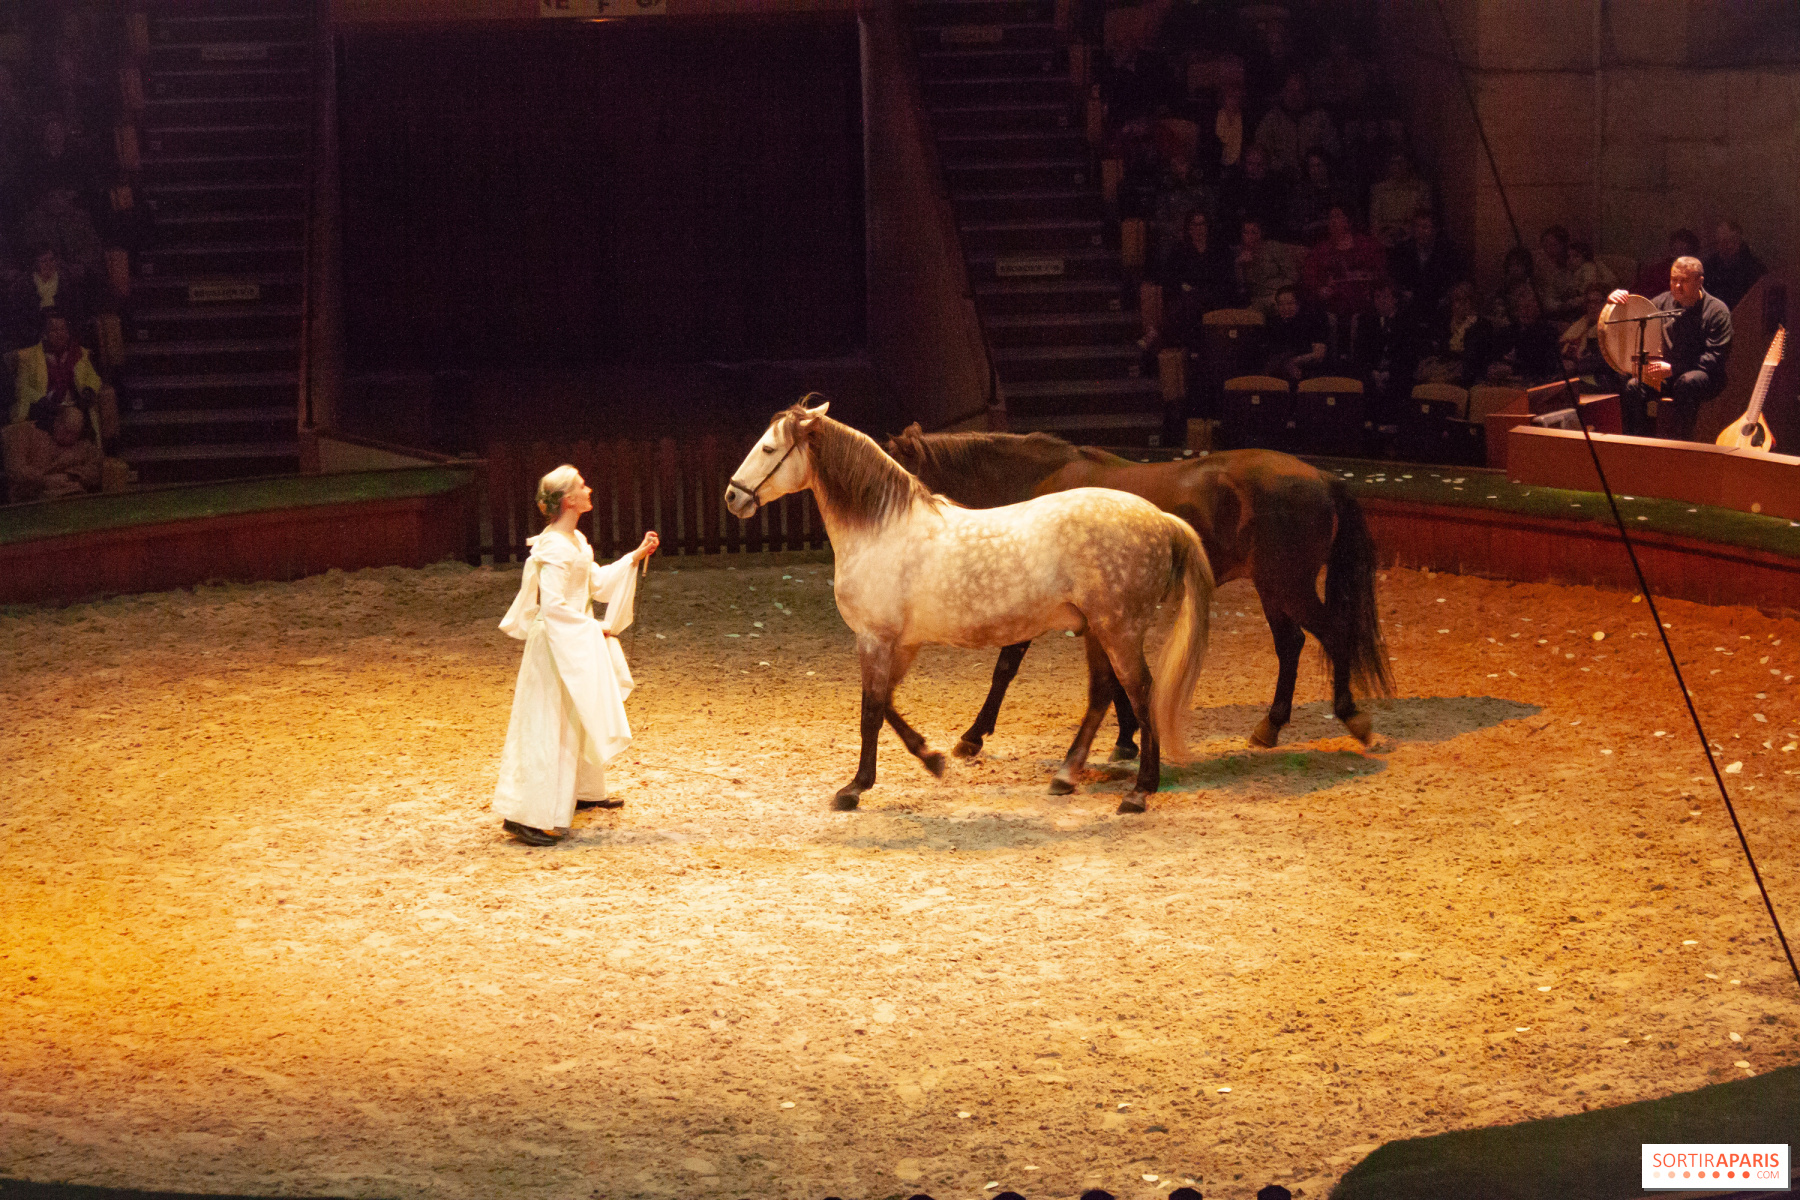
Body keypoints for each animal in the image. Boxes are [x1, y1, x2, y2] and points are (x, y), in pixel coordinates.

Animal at [724, 398, 1214, 814]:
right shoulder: (901, 644)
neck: (881, 528)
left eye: (768, 448)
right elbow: (886, 704)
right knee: (1101, 694)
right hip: (1097, 629)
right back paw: (1066, 775)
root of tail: (1163, 520)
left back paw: (1140, 790)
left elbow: (871, 710)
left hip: (1119, 629)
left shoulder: (874, 639)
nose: (733, 496)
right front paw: (932, 757)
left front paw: (855, 788)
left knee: (1141, 690)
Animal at [885, 426, 1392, 757]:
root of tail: (1322, 478)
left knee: (1334, 635)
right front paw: (1127, 737)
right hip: (1275, 589)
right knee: (1292, 645)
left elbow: (1006, 668)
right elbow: (1112, 676)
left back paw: (1352, 718)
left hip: (1288, 586)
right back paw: (1271, 725)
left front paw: (973, 736)